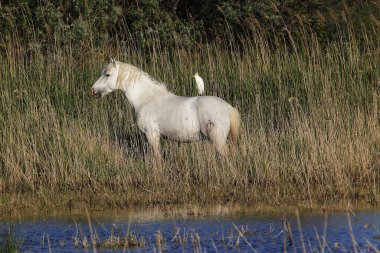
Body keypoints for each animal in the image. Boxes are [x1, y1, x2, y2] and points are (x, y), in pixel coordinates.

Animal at [91, 58, 240, 157]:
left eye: (107, 74)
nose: (93, 91)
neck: (146, 98)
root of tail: (228, 107)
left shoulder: (152, 135)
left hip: (218, 141)